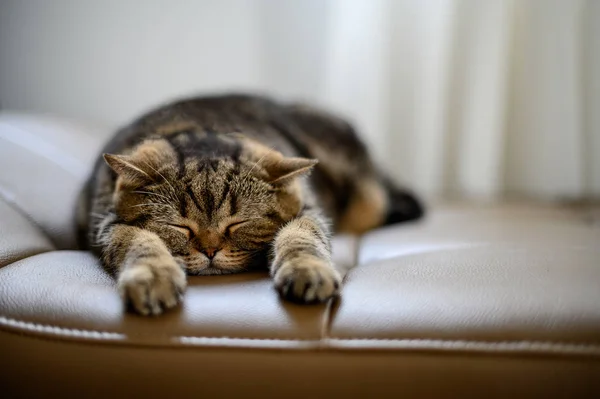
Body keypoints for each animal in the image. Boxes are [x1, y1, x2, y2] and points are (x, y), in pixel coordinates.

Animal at [79, 94, 424, 316]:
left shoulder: (308, 213)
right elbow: (138, 241)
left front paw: (307, 270)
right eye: (179, 226)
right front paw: (152, 277)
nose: (210, 251)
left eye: (238, 223)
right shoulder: (108, 225)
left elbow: (300, 236)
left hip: (366, 195)